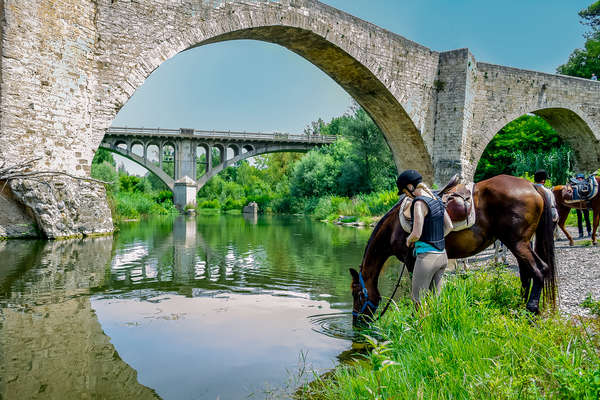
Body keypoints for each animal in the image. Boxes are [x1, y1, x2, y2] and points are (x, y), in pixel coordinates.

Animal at [352, 175, 556, 324]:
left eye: (357, 294)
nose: (357, 323)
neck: (394, 226)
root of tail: (532, 186)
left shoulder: (412, 262)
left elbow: (419, 291)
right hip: (520, 244)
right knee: (526, 274)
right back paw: (521, 305)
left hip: (517, 243)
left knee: (539, 270)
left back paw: (531, 310)